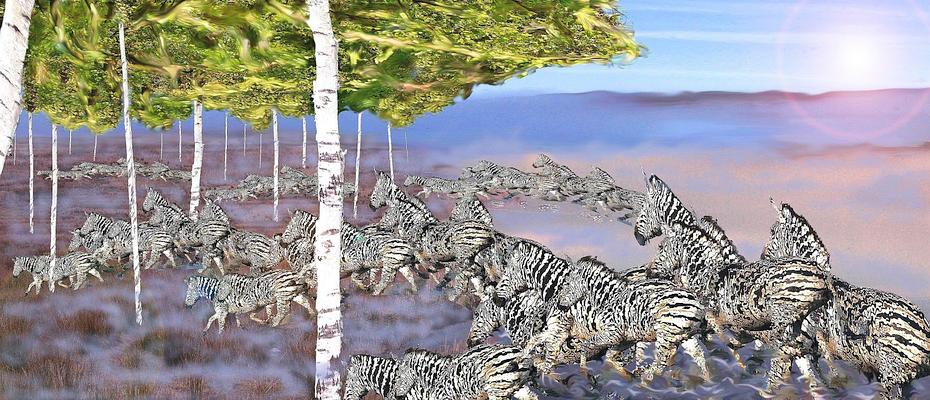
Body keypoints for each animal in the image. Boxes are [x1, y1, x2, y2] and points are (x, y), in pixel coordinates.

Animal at [760, 203, 928, 400]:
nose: (762, 258)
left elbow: (778, 376)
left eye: (772, 231)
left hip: (891, 375)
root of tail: (922, 322)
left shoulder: (799, 345)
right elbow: (813, 383)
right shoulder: (806, 351)